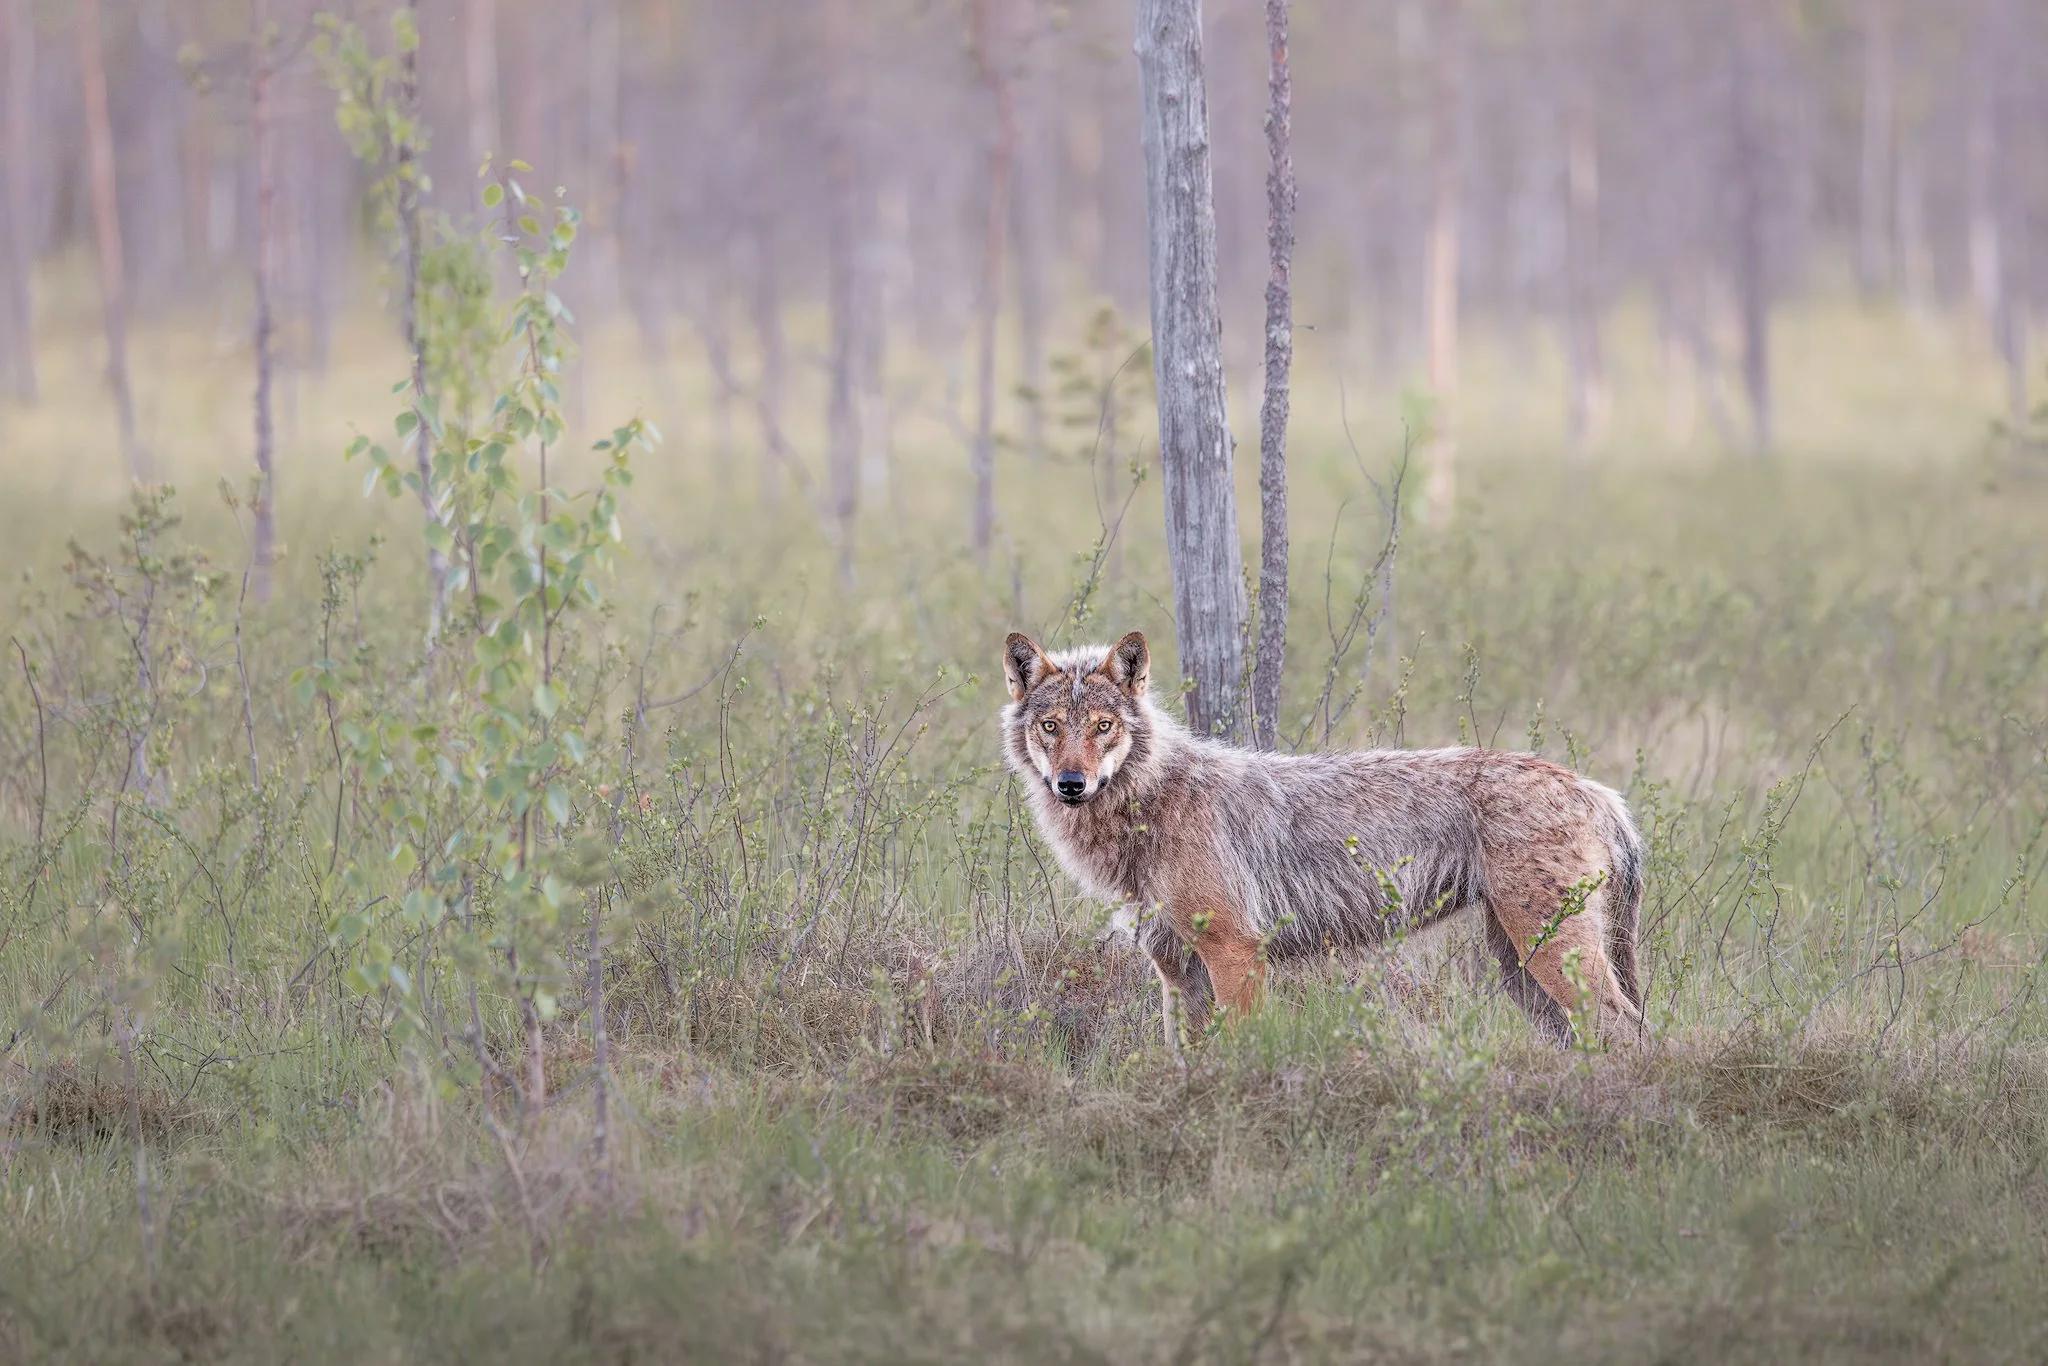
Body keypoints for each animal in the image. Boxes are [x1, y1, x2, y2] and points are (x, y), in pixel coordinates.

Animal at [1000, 630, 1646, 1049]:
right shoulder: (1178, 974)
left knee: (1631, 1030)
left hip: (1548, 957)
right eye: (1051, 727)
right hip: (1521, 971)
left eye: (1103, 727)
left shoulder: (1237, 956)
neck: (1150, 804)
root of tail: (1597, 790)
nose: (1071, 784)